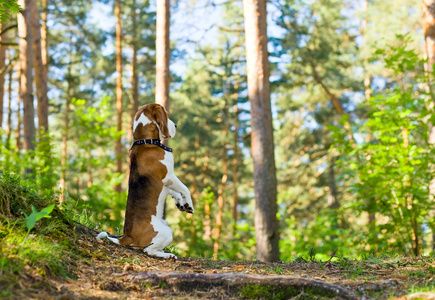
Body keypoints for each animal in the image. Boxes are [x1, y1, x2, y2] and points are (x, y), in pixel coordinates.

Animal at [99, 102, 196, 258]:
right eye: (167, 114)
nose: (176, 125)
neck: (145, 142)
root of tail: (127, 236)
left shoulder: (167, 182)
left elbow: (176, 192)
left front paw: (181, 203)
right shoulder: (169, 176)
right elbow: (185, 189)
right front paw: (188, 204)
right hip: (167, 231)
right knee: (148, 250)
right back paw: (167, 255)